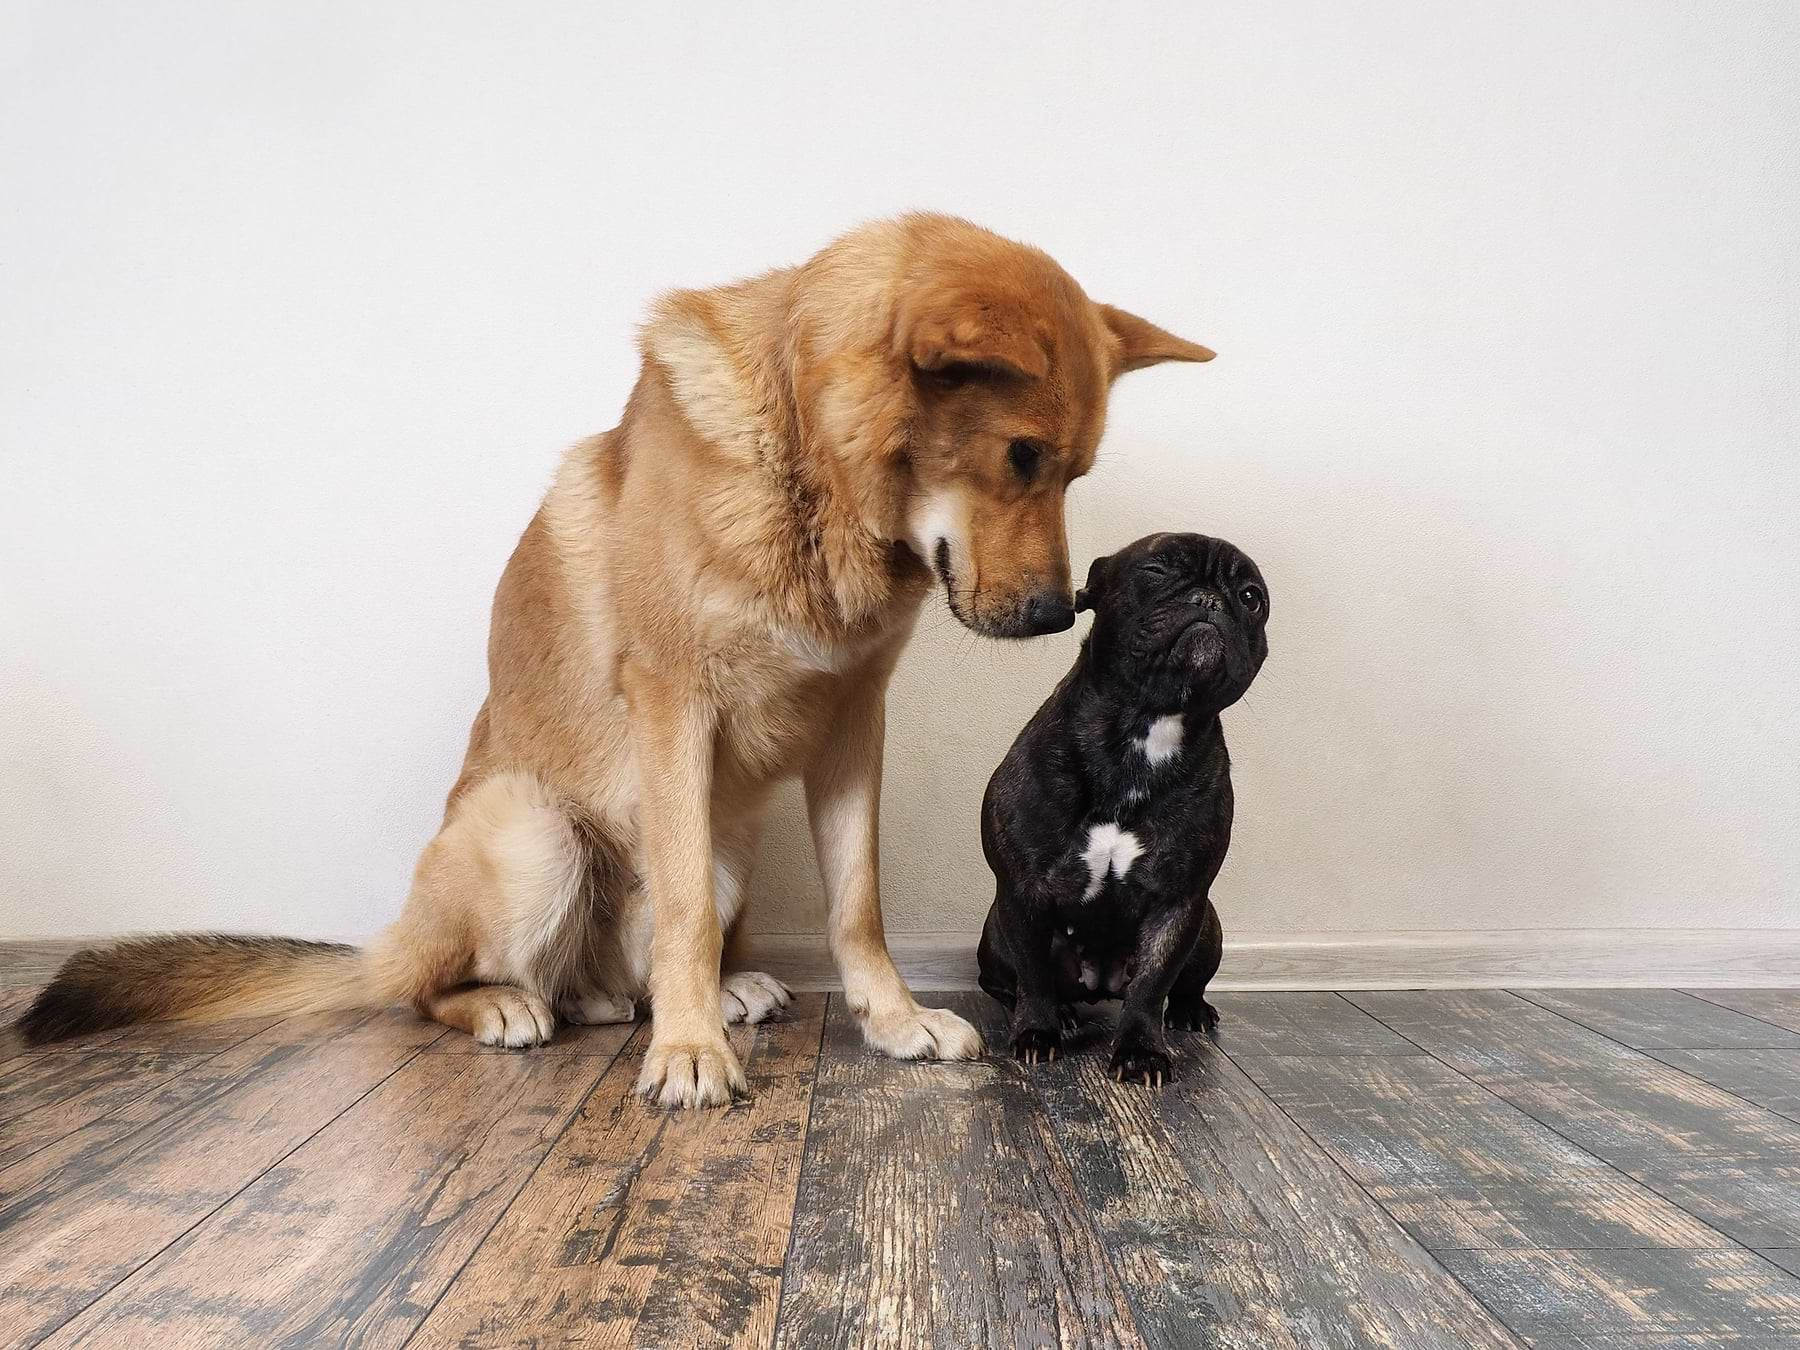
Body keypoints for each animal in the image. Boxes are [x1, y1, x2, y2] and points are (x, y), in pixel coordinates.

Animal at [21, 216, 1209, 1108]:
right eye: (1021, 457)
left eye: (1073, 472)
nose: (1061, 612)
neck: (801, 463)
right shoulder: (674, 711)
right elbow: (680, 912)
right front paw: (687, 1055)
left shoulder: (853, 724)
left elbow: (854, 904)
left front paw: (895, 1021)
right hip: (535, 832)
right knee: (440, 987)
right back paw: (520, 1004)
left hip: (721, 849)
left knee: (625, 978)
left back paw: (692, 995)